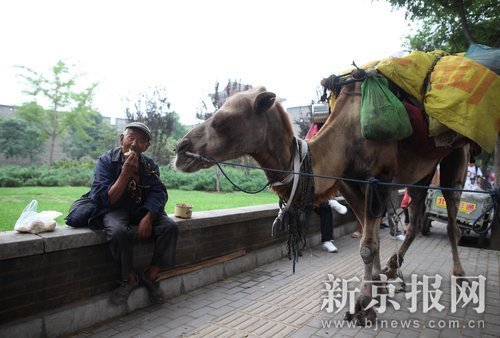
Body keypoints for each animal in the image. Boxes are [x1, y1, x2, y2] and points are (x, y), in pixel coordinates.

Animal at [174, 78, 470, 324]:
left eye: (223, 120)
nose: (180, 150)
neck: (346, 137)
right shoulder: (349, 183)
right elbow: (369, 236)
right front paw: (379, 287)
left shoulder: (379, 178)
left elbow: (368, 245)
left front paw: (363, 305)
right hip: (421, 174)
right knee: (416, 218)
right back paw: (393, 269)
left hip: (456, 156)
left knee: (451, 218)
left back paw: (460, 277)